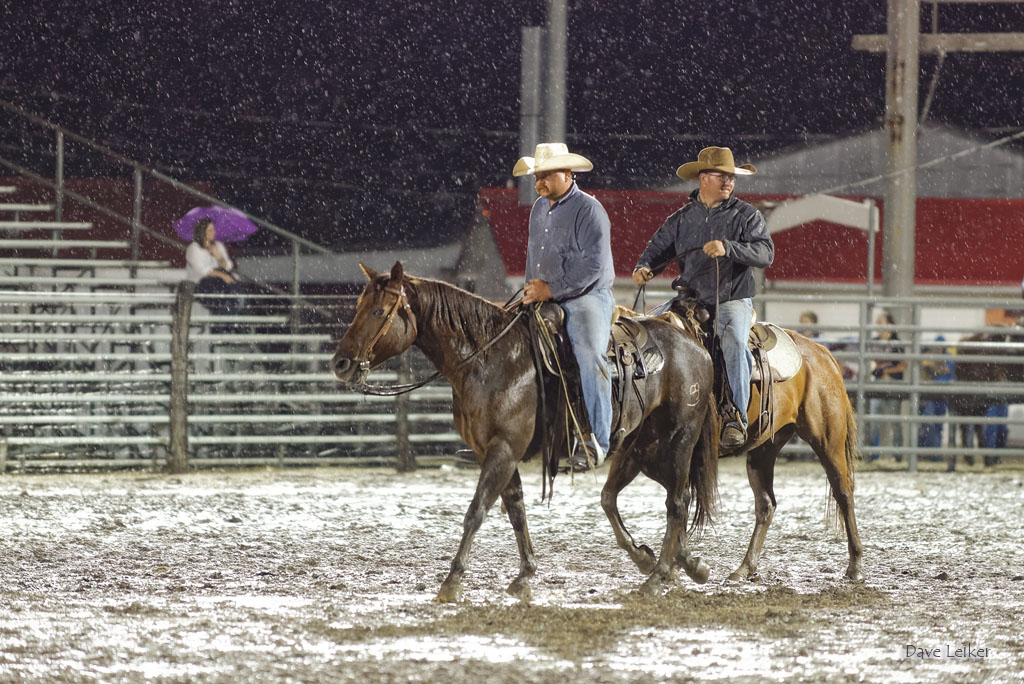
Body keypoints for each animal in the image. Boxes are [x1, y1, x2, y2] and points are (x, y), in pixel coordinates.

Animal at [331, 264, 716, 602]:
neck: (490, 359)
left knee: (676, 503)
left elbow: (477, 510)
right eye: (358, 306)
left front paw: (452, 581)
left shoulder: (503, 449)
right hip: (642, 447)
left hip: (679, 439)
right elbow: (515, 508)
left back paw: (658, 575)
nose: (341, 363)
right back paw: (678, 563)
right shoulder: (495, 452)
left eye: (379, 311)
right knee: (639, 498)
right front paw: (524, 575)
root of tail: (694, 346)